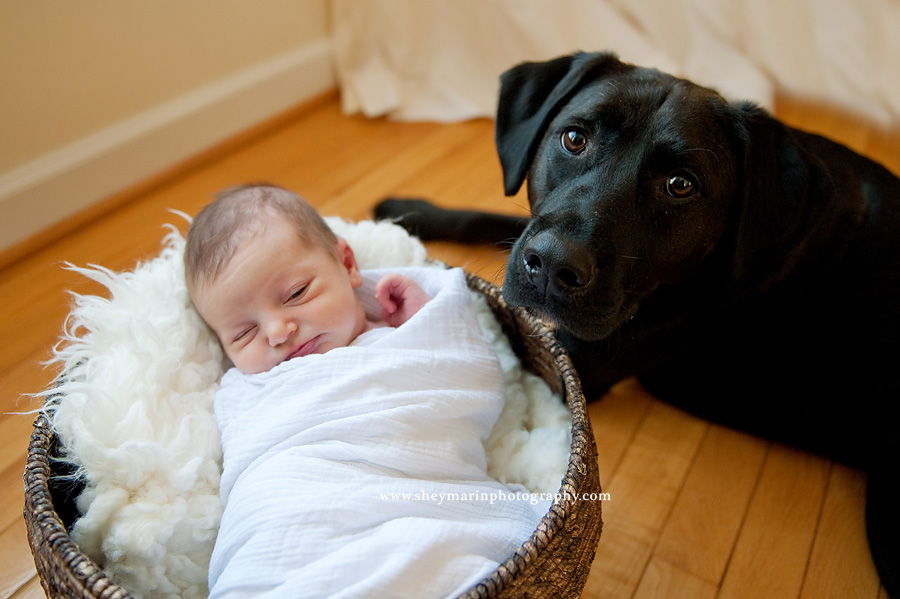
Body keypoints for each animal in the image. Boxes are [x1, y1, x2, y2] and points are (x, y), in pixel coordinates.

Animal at [376, 51, 896, 596]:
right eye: (574, 138)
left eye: (680, 185)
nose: (552, 266)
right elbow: (496, 221)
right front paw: (409, 213)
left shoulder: (578, 361)